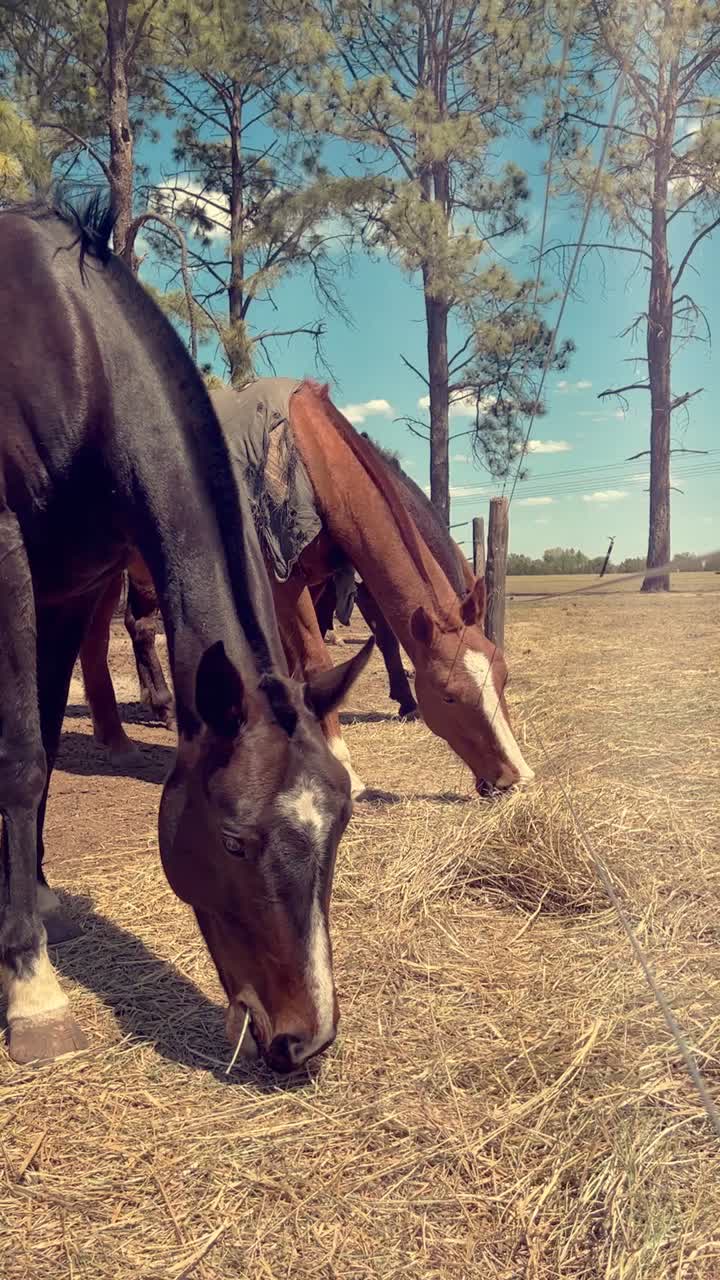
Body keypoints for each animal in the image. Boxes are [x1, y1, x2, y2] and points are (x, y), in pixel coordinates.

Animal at [0, 202, 371, 1069]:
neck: (74, 356)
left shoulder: (71, 583)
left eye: (339, 823)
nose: (306, 1040)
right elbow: (24, 761)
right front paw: (31, 985)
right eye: (234, 842)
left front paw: (41, 902)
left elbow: (44, 741)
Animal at [79, 379, 534, 799]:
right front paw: (345, 766)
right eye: (448, 695)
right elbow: (316, 661)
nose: (515, 778)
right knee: (108, 635)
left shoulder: (314, 585)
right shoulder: (283, 582)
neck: (312, 456)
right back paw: (128, 732)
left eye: (503, 675)